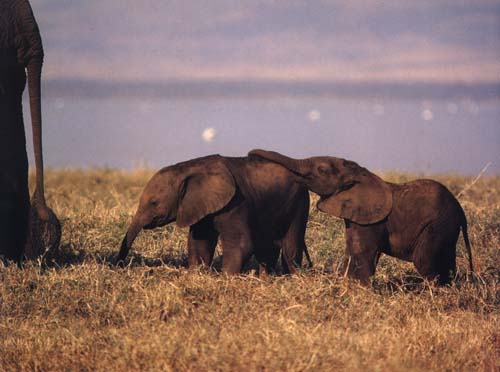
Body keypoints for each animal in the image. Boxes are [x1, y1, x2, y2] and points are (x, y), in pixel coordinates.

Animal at [118, 153, 312, 274]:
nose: (120, 265)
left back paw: (292, 278)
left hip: (299, 202)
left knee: (290, 248)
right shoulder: (200, 205)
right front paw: (196, 275)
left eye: (154, 203)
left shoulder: (235, 202)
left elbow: (241, 244)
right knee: (267, 247)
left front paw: (226, 279)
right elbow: (200, 242)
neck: (187, 168)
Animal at [250, 149, 472, 284]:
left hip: (439, 224)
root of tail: (461, 212)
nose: (252, 153)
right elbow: (353, 252)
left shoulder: (369, 220)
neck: (361, 174)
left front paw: (357, 289)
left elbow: (361, 252)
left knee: (424, 261)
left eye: (321, 170)